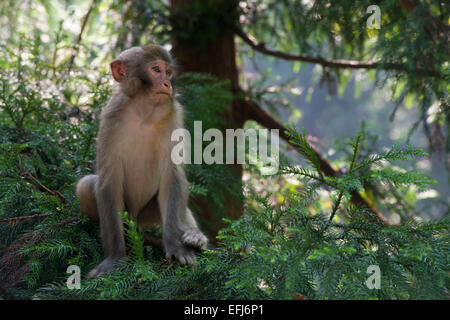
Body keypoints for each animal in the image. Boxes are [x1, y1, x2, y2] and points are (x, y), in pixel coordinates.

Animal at [77, 43, 209, 278]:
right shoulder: (111, 117)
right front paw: (114, 258)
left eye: (168, 72)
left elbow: (172, 176)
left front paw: (176, 247)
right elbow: (108, 181)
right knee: (86, 184)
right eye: (156, 70)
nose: (167, 83)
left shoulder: (173, 115)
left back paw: (194, 237)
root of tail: (137, 221)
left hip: (149, 214)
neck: (143, 111)